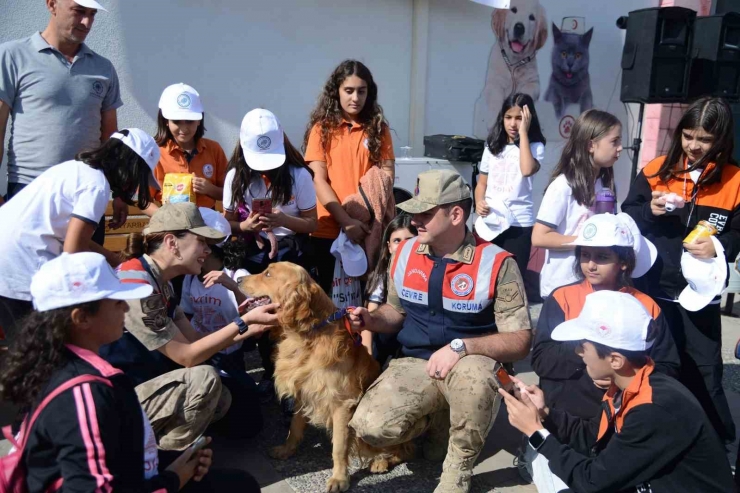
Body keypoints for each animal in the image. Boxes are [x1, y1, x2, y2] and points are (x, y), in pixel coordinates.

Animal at [238, 262, 408, 488]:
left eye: (267, 274)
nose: (238, 279)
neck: (308, 333)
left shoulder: (342, 404)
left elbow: (339, 447)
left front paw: (339, 478)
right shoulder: (303, 390)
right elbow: (294, 427)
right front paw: (287, 449)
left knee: (402, 449)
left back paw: (381, 461)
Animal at [474, 0, 548, 138]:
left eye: (532, 17)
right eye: (513, 10)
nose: (519, 27)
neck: (514, 62)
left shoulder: (534, 83)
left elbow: (526, 92)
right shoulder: (493, 82)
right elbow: (495, 96)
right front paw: (491, 120)